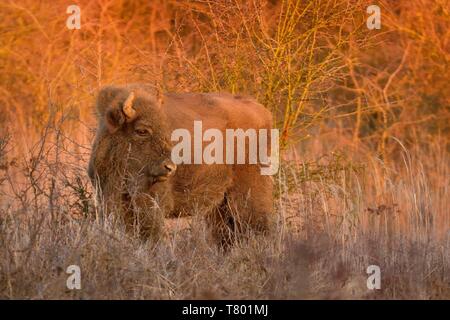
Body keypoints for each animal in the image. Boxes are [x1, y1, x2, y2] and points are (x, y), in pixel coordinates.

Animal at [88, 84, 274, 246]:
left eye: (165, 129)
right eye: (141, 130)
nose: (170, 167)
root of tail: (262, 111)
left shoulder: (151, 205)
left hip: (248, 195)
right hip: (220, 205)